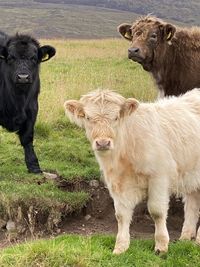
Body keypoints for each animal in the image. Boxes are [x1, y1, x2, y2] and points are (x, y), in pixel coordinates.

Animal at [0, 33, 55, 174]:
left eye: (33, 58)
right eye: (11, 57)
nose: (23, 77)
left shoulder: (32, 109)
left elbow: (27, 137)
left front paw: (34, 165)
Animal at [64, 89, 200, 254]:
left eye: (116, 117)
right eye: (88, 117)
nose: (103, 143)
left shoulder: (159, 176)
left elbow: (157, 211)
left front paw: (161, 246)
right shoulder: (116, 181)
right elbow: (121, 215)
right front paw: (120, 247)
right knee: (192, 203)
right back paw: (186, 237)